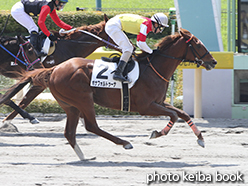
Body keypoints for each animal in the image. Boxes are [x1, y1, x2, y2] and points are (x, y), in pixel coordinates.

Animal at [0, 29, 217, 160]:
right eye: (198, 44)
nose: (213, 61)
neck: (154, 69)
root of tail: (54, 69)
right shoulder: (146, 106)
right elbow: (173, 115)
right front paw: (157, 133)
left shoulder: (159, 102)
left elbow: (183, 114)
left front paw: (201, 139)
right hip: (83, 99)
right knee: (91, 126)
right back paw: (124, 143)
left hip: (70, 105)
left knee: (70, 132)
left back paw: (84, 157)